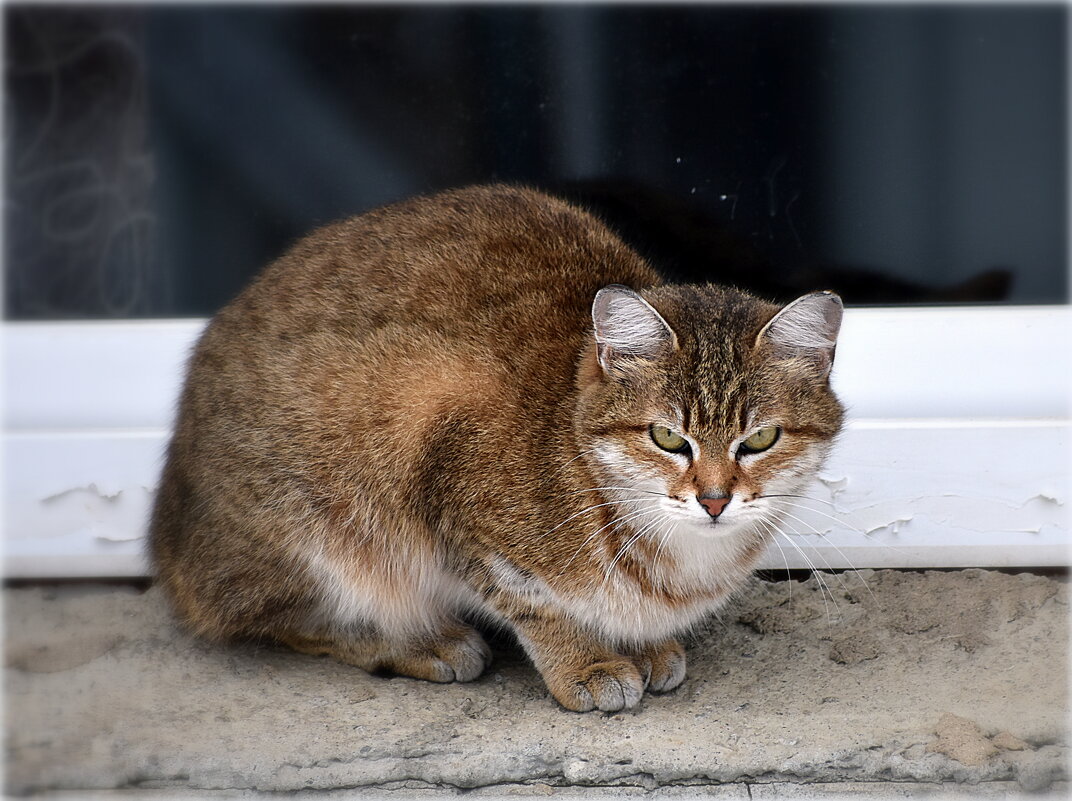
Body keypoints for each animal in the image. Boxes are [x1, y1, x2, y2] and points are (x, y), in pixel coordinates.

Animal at [146, 184, 840, 711]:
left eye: (761, 438)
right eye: (668, 437)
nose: (715, 499)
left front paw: (643, 644)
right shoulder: (442, 469)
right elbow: (531, 603)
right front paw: (584, 663)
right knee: (282, 618)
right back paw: (414, 641)